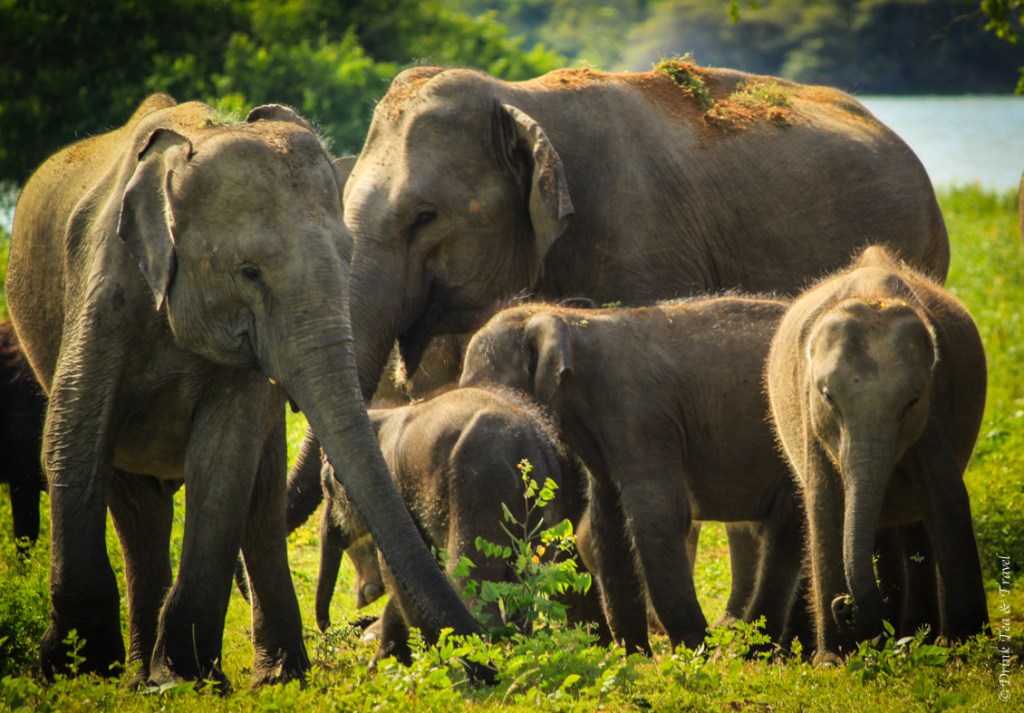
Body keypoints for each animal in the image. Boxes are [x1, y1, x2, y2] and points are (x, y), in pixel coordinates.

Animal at [4, 93, 480, 686]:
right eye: (249, 272)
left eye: (347, 257)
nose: (487, 663)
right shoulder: (100, 288)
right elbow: (74, 436)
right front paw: (77, 671)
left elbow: (225, 458)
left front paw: (183, 677)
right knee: (134, 505)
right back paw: (137, 675)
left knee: (257, 498)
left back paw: (270, 677)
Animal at [316, 385, 606, 664]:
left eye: (327, 488)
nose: (324, 624)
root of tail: (527, 447)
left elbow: (398, 576)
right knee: (523, 585)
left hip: (477, 489)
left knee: (467, 578)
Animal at [459, 296, 805, 655]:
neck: (569, 319)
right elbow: (609, 525)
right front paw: (635, 656)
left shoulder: (640, 417)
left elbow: (658, 517)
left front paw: (695, 653)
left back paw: (755, 652)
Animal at [765, 245, 988, 662]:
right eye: (827, 396)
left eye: (912, 400)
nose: (844, 605)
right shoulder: (810, 416)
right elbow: (825, 504)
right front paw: (834, 661)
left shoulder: (935, 408)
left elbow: (946, 498)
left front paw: (969, 651)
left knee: (914, 524)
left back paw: (919, 636)